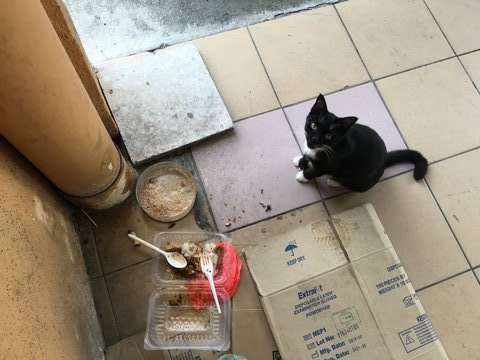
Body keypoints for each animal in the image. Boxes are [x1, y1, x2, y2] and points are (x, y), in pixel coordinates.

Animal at [292, 94, 428, 193]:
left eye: (328, 136)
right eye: (313, 125)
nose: (314, 140)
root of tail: (384, 161)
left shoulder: (329, 164)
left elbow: (313, 172)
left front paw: (302, 176)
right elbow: (306, 156)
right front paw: (300, 160)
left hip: (360, 180)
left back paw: (334, 181)